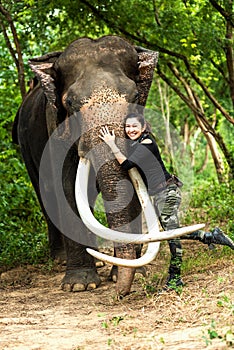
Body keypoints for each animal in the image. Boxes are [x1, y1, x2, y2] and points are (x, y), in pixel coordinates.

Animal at [13, 35, 203, 296]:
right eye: (69, 102)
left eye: (135, 96)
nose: (121, 294)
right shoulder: (56, 129)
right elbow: (65, 187)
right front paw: (79, 285)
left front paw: (133, 275)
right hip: (26, 147)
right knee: (47, 195)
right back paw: (61, 261)